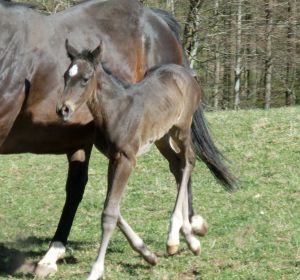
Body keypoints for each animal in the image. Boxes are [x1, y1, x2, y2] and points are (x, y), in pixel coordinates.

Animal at [57, 40, 213, 278]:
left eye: (85, 79)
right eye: (66, 76)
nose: (63, 110)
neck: (116, 110)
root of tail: (189, 73)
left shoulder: (127, 159)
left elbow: (109, 214)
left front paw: (96, 270)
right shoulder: (113, 158)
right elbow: (112, 206)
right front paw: (147, 254)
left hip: (182, 128)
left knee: (188, 162)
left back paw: (176, 236)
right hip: (162, 137)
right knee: (177, 166)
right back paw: (187, 237)